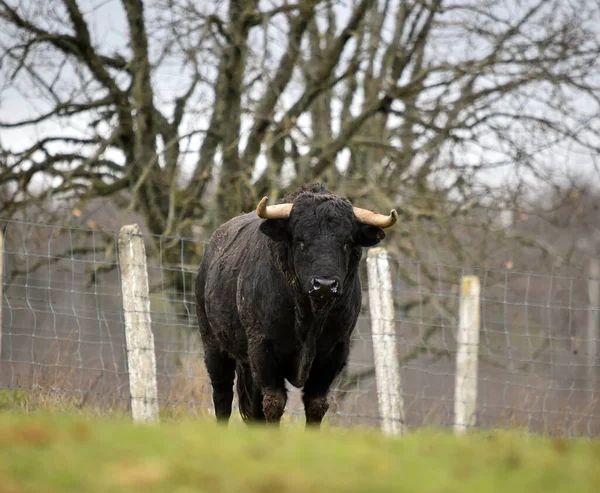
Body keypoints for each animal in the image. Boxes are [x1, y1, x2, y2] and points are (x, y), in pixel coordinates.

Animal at [195, 184, 396, 422]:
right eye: (300, 240)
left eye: (347, 242)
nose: (325, 284)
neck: (309, 318)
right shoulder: (262, 347)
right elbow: (274, 402)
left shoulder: (335, 351)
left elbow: (316, 404)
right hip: (213, 345)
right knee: (223, 396)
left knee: (253, 407)